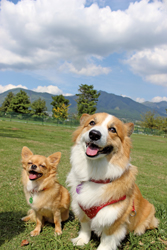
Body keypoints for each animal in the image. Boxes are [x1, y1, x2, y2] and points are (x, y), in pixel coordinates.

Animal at [66, 113, 158, 250]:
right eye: (92, 123)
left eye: (113, 129)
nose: (94, 134)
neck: (95, 174)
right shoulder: (82, 208)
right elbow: (85, 227)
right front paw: (82, 240)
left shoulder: (114, 217)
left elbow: (107, 239)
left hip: (150, 210)